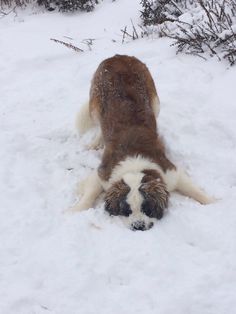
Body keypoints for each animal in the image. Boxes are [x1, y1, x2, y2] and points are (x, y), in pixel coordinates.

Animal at [71, 54, 214, 231]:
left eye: (147, 209)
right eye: (126, 210)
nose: (138, 226)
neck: (135, 165)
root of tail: (117, 56)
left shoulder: (170, 173)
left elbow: (194, 190)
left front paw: (215, 202)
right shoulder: (103, 174)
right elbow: (89, 195)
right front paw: (74, 210)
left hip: (155, 102)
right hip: (95, 107)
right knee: (99, 125)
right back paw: (96, 142)